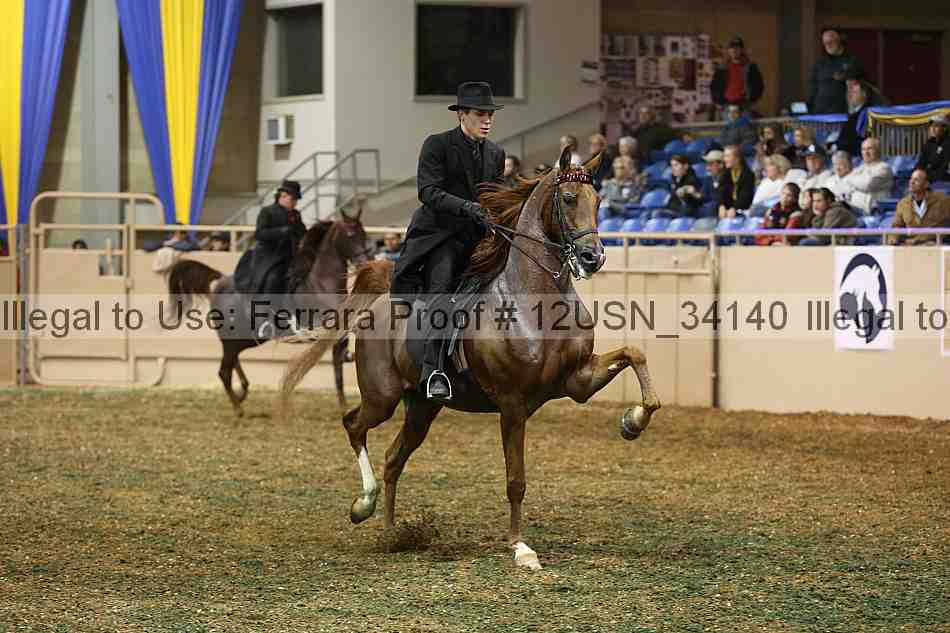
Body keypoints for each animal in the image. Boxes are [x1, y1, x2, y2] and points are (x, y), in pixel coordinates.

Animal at [166, 210, 372, 417]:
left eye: (363, 234)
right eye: (350, 235)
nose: (364, 263)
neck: (321, 285)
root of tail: (220, 284)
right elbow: (338, 369)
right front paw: (344, 405)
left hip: (245, 340)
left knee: (233, 363)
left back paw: (242, 392)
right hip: (234, 340)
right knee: (224, 371)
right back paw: (238, 407)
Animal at [280, 148, 661, 570]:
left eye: (598, 201)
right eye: (568, 199)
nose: (593, 258)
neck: (534, 301)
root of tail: (379, 301)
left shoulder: (576, 380)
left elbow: (635, 355)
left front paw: (632, 421)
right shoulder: (512, 404)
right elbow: (516, 480)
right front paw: (520, 548)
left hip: (422, 408)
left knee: (394, 457)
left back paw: (392, 533)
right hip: (382, 398)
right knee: (353, 425)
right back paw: (363, 506)